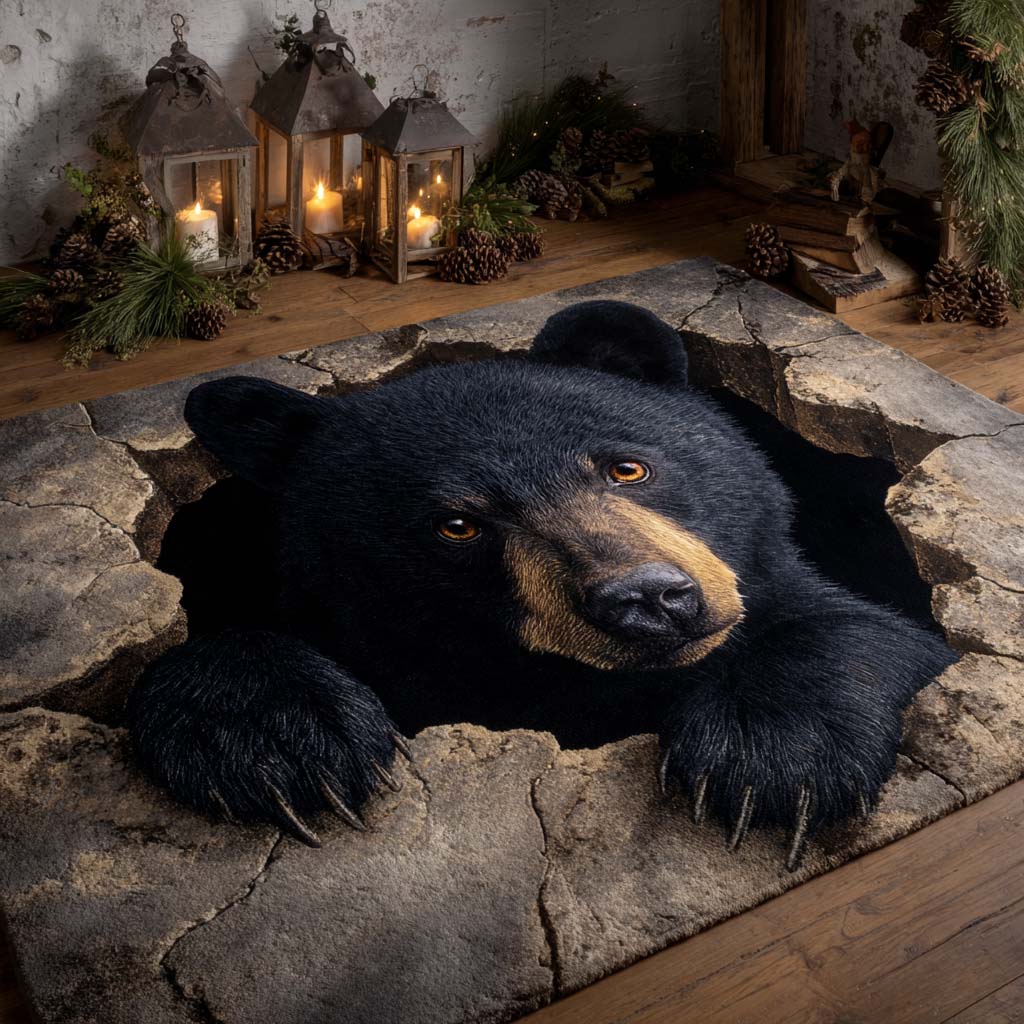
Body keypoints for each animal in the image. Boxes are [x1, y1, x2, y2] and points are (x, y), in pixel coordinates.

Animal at [127, 300, 955, 868]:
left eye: (628, 467)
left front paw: (770, 760)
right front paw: (283, 743)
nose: (650, 601)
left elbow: (866, 633)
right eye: (457, 525)